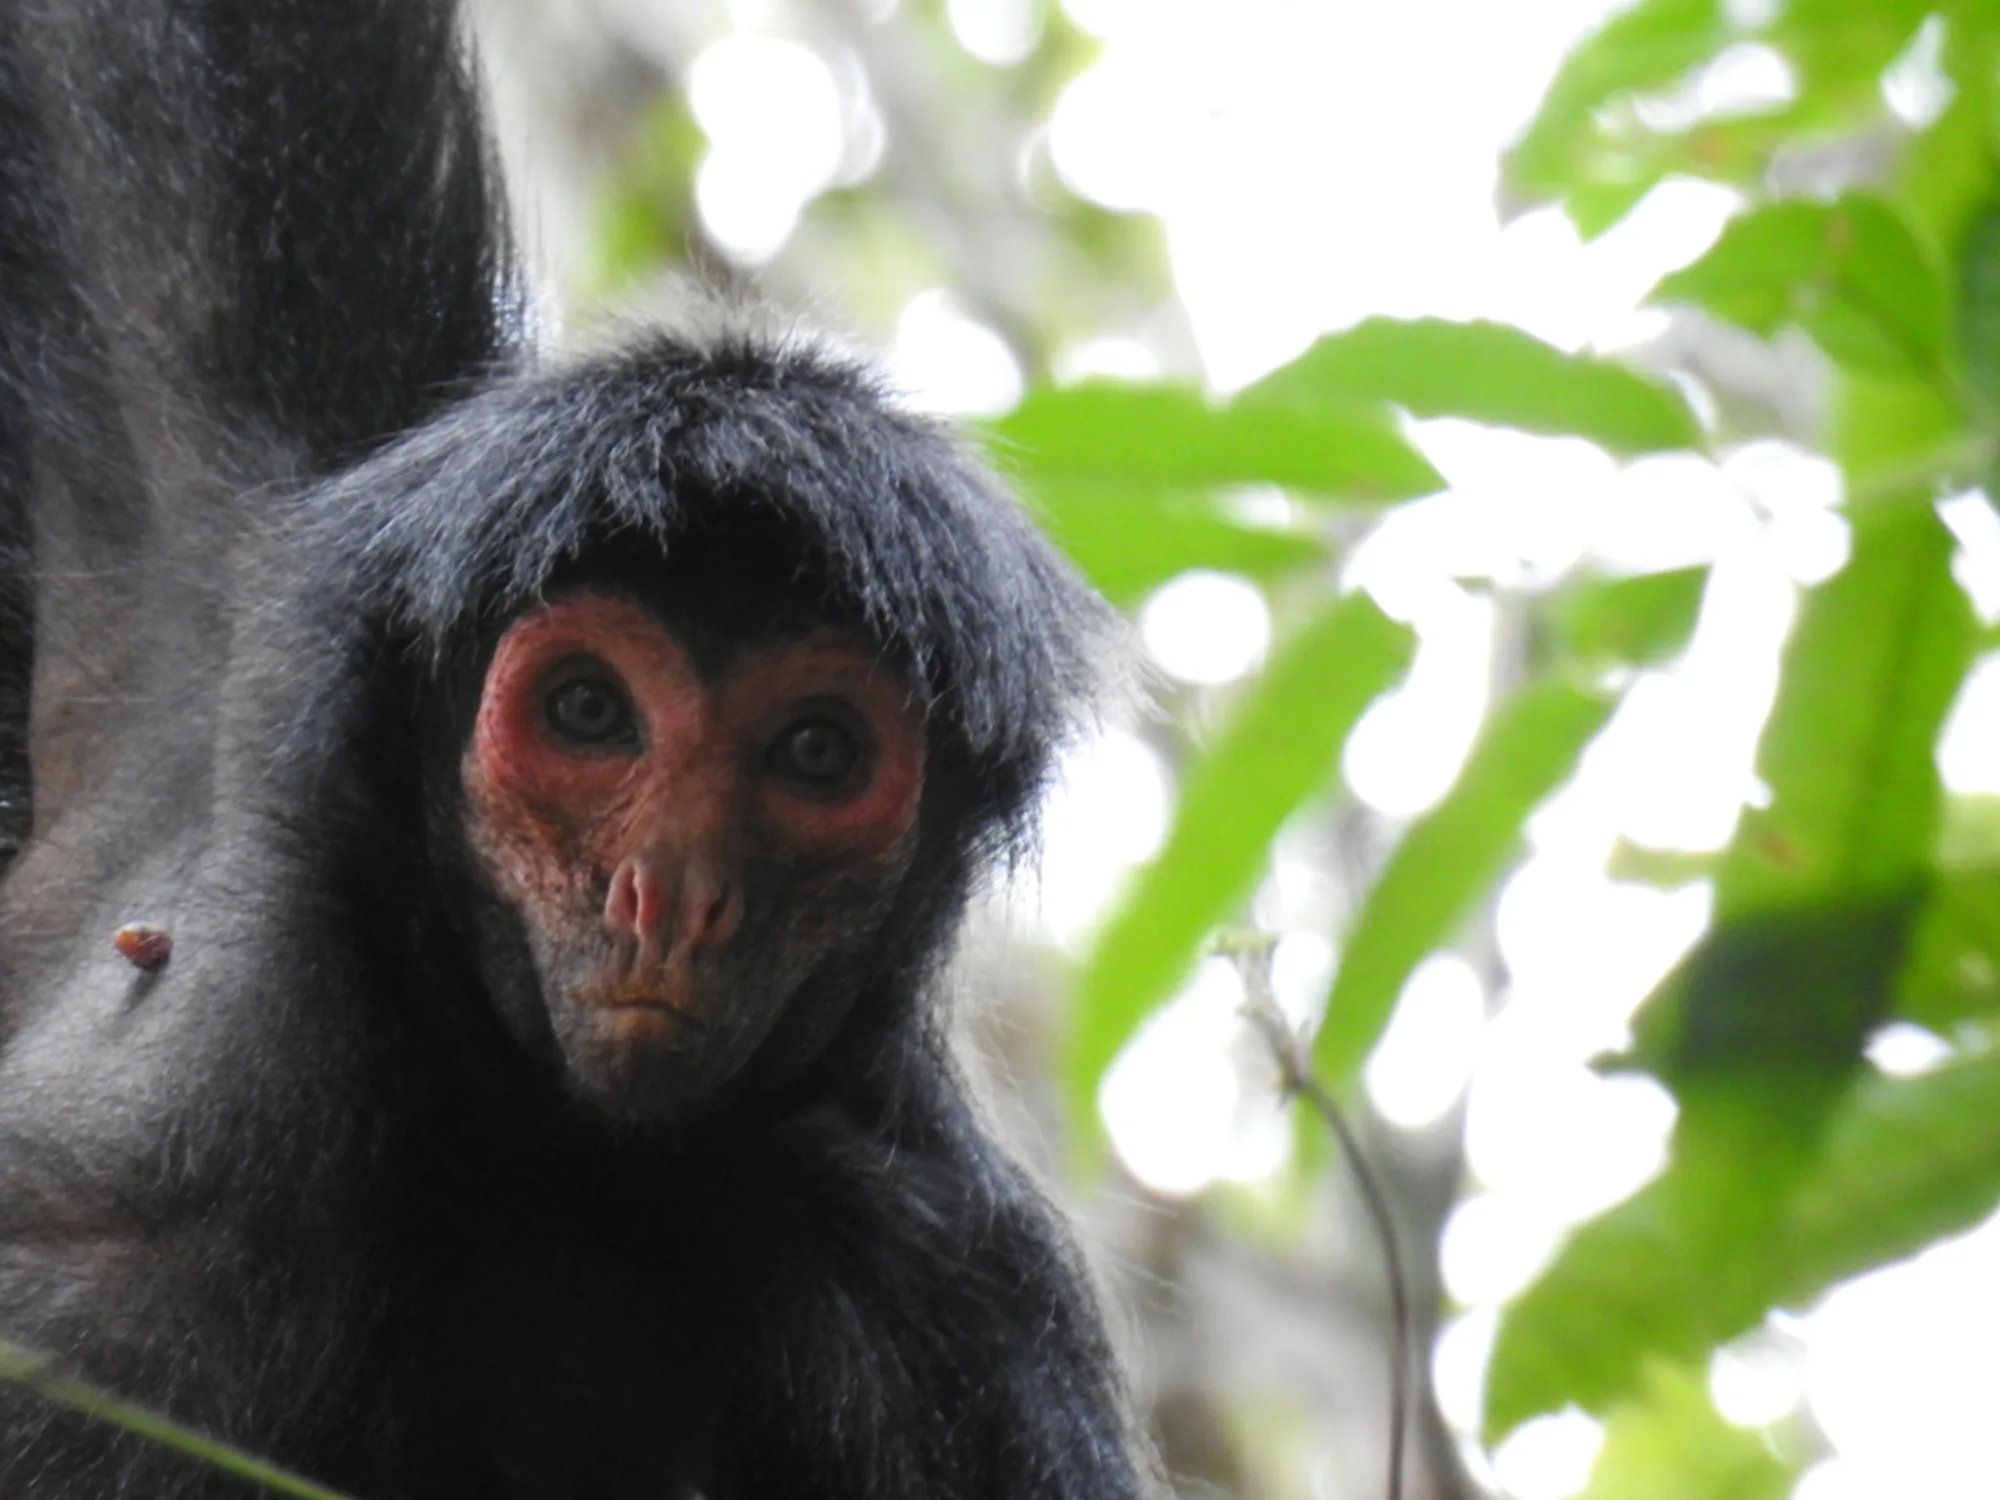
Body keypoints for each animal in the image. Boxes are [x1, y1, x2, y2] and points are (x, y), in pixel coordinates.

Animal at [0, 2, 1148, 1496]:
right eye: (589, 714)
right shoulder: (235, 585)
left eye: (818, 753)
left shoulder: (956, 1290)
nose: (672, 897)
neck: (501, 1114)